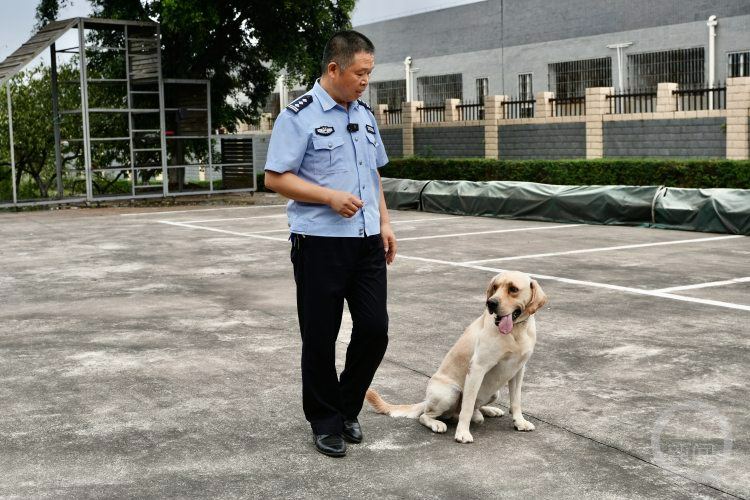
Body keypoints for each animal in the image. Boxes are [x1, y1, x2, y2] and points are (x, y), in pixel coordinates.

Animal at [368, 272, 548, 444]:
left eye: (513, 289)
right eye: (495, 287)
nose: (490, 303)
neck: (516, 331)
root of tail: (426, 400)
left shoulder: (518, 369)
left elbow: (516, 401)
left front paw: (520, 422)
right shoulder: (477, 368)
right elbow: (466, 408)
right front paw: (462, 433)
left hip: (494, 393)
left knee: (474, 407)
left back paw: (488, 411)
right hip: (450, 392)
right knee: (427, 415)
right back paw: (438, 423)